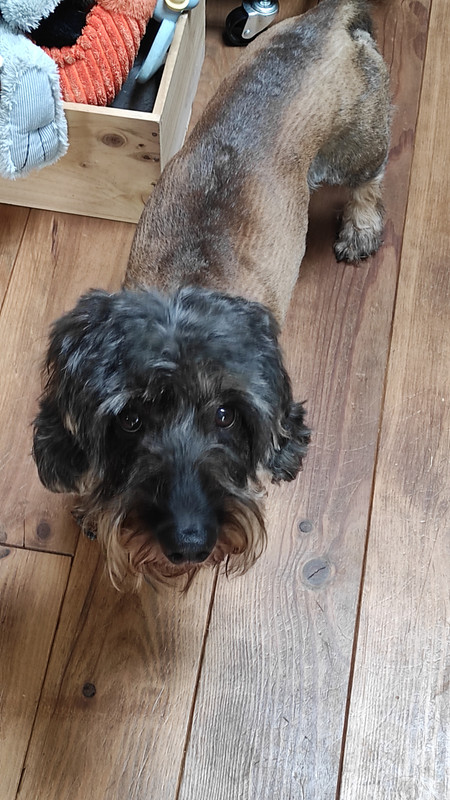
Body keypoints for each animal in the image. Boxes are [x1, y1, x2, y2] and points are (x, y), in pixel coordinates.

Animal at [33, 0, 391, 588]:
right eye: (130, 419)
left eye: (226, 416)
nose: (189, 543)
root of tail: (327, 18)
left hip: (358, 147)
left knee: (369, 182)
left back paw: (360, 225)